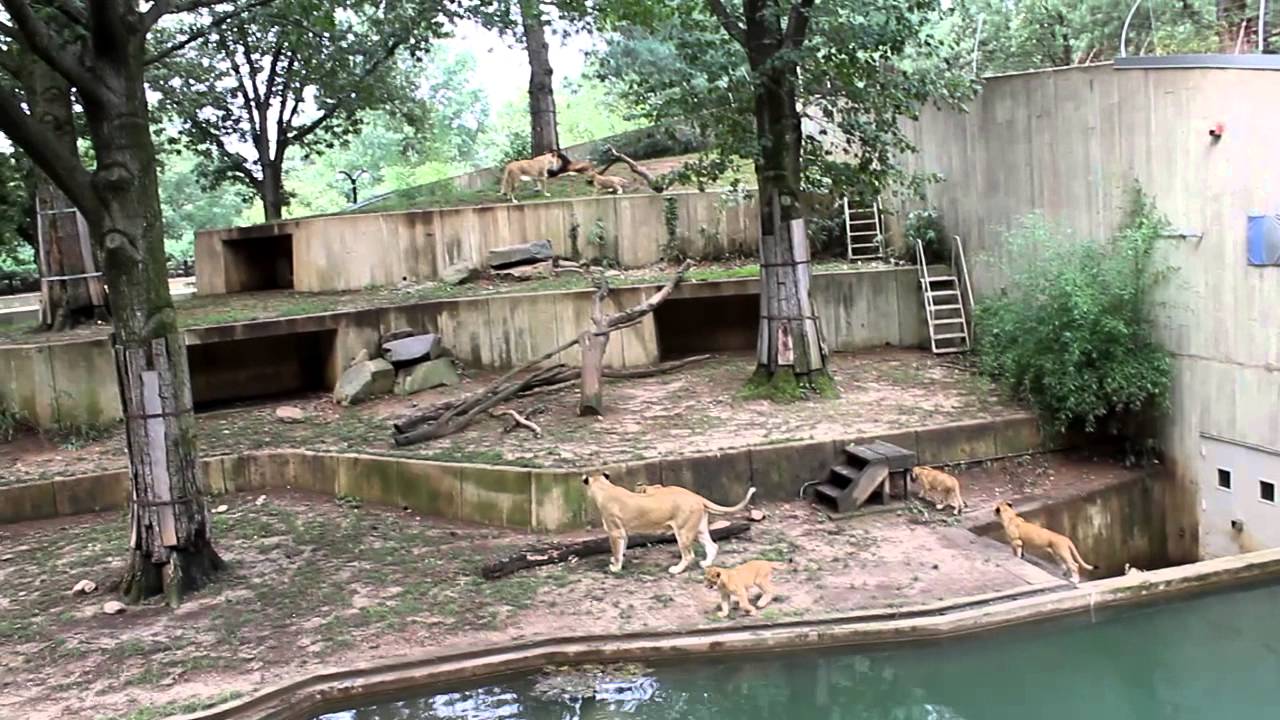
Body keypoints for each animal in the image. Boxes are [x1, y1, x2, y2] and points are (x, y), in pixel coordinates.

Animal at [583, 472, 756, 575]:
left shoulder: (615, 532)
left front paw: (615, 567)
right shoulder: (622, 532)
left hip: (683, 531)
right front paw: (617, 560)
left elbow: (616, 551)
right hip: (699, 529)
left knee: (689, 555)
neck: (605, 488)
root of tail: (697, 496)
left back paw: (676, 570)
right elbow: (622, 549)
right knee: (712, 546)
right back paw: (706, 564)